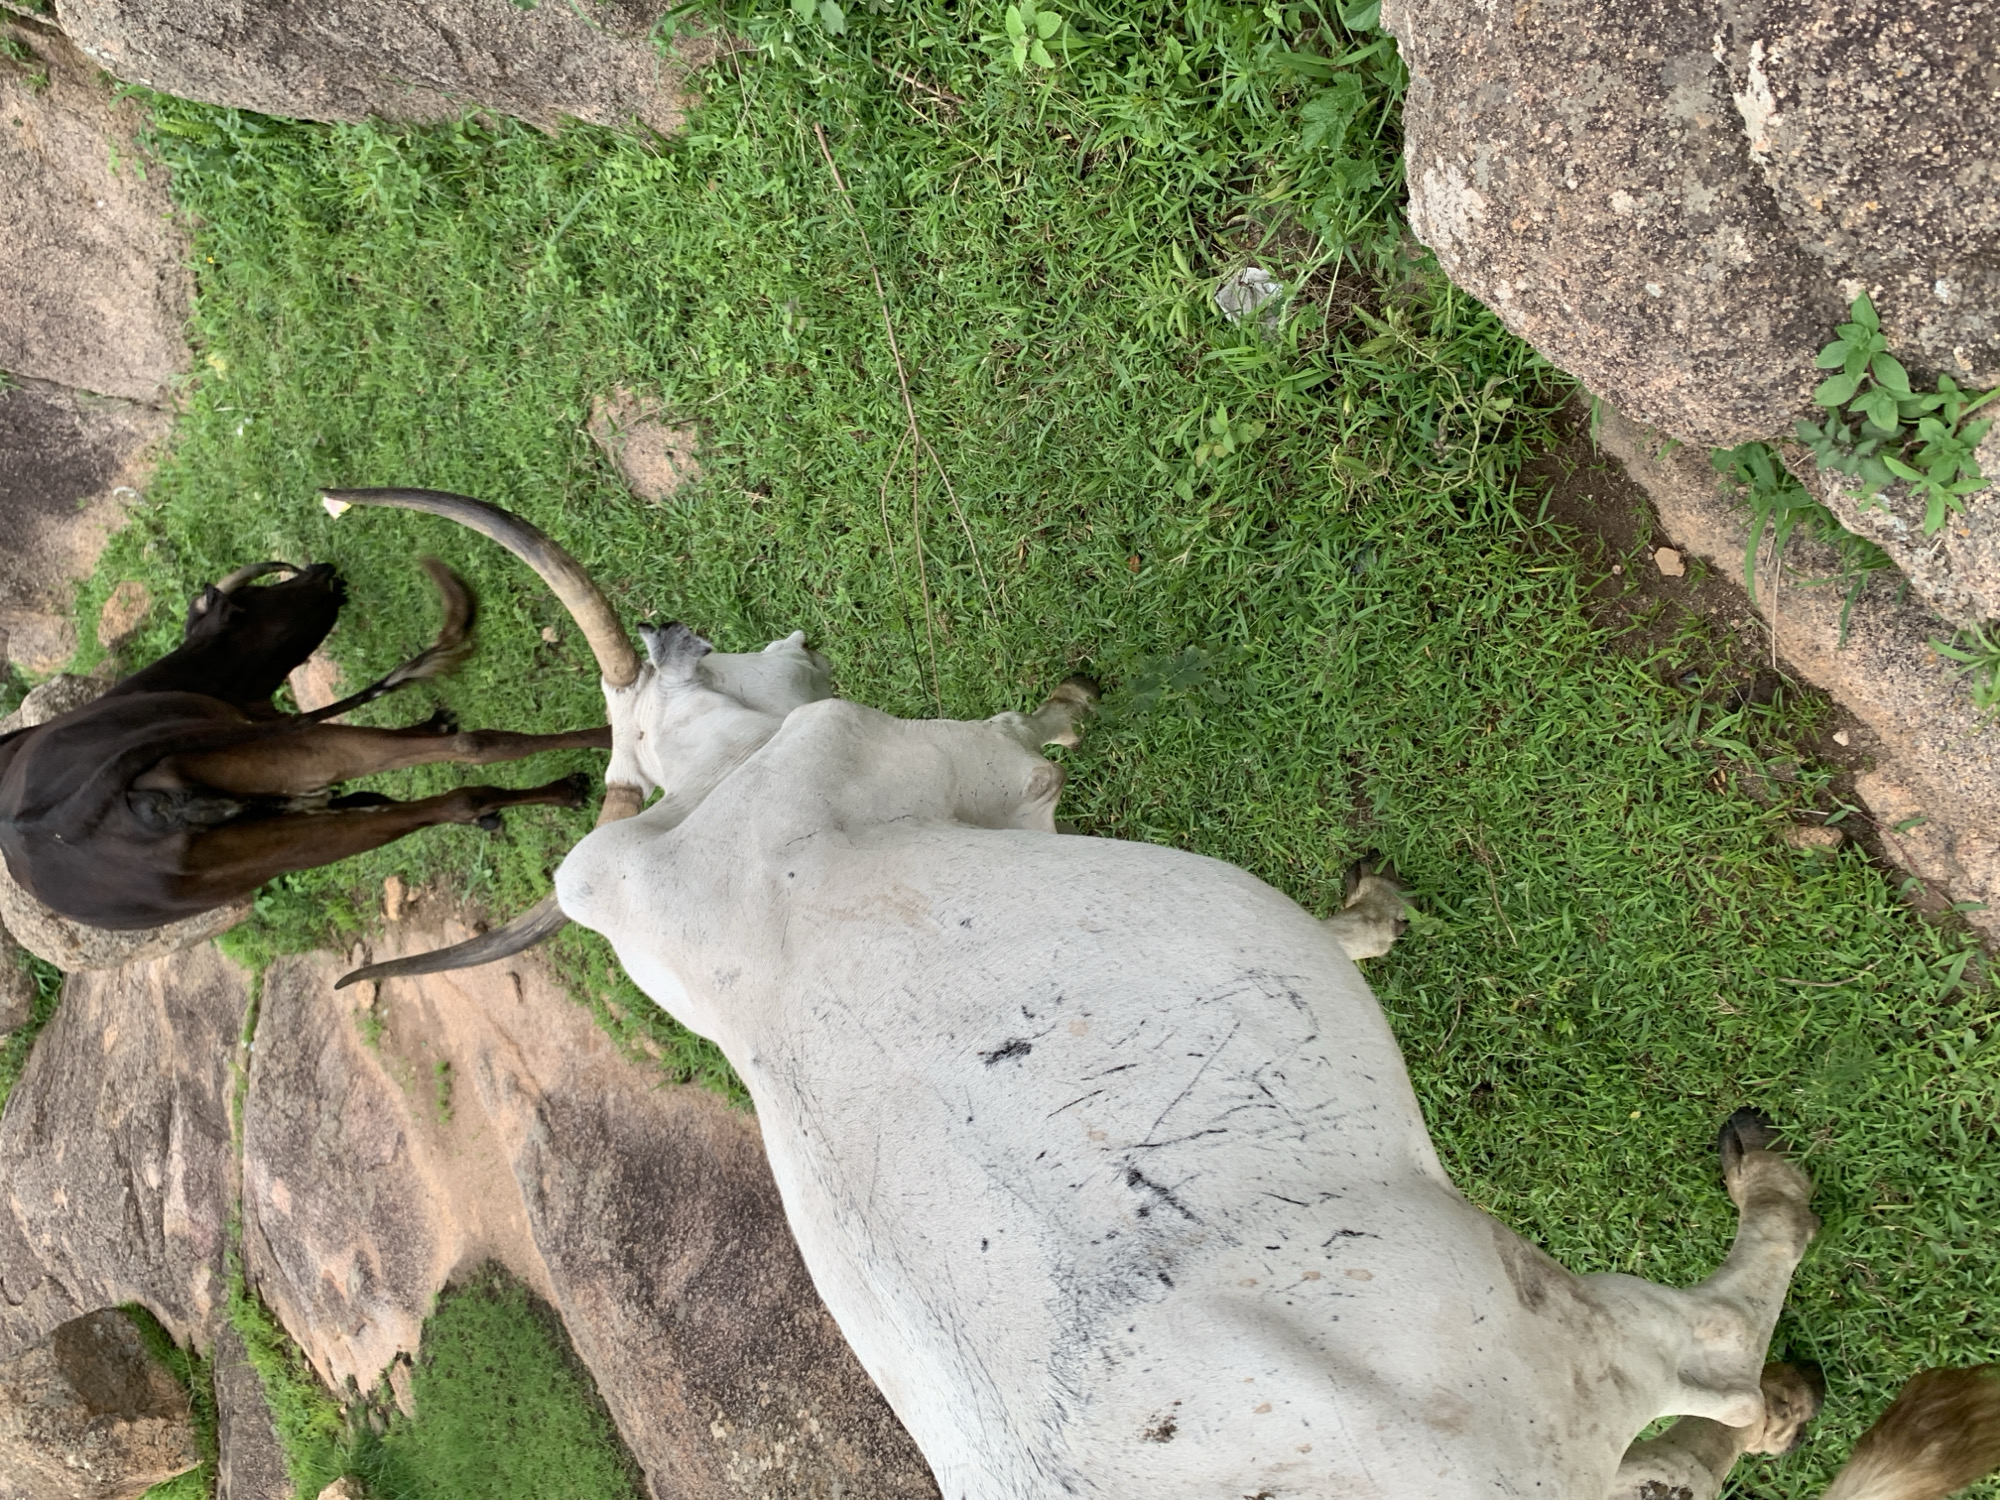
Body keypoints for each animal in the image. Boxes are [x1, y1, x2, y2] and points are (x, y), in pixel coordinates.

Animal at [0, 557, 609, 931]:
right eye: (257, 597)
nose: (321, 570)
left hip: (274, 845)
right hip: (297, 766)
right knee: (471, 763)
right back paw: (590, 759)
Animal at [332, 488, 2000, 1500]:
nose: (691, 626)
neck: (726, 872)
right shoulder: (966, 768)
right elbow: (1043, 741)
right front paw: (1364, 915)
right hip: (1550, 1315)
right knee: (1713, 1349)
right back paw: (1775, 1264)